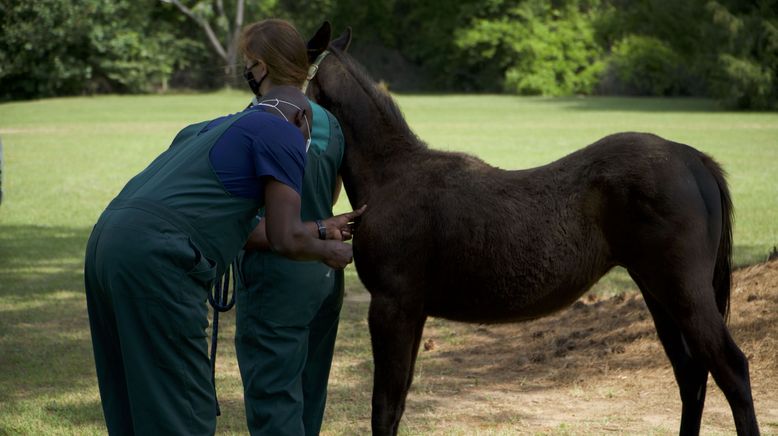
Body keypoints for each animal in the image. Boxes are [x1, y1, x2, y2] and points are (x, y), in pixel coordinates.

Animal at [304, 23, 756, 436]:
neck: (392, 177)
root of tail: (693, 159)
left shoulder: (392, 307)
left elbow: (384, 407)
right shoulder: (412, 312)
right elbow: (397, 404)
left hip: (683, 293)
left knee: (731, 369)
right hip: (658, 294)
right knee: (691, 376)